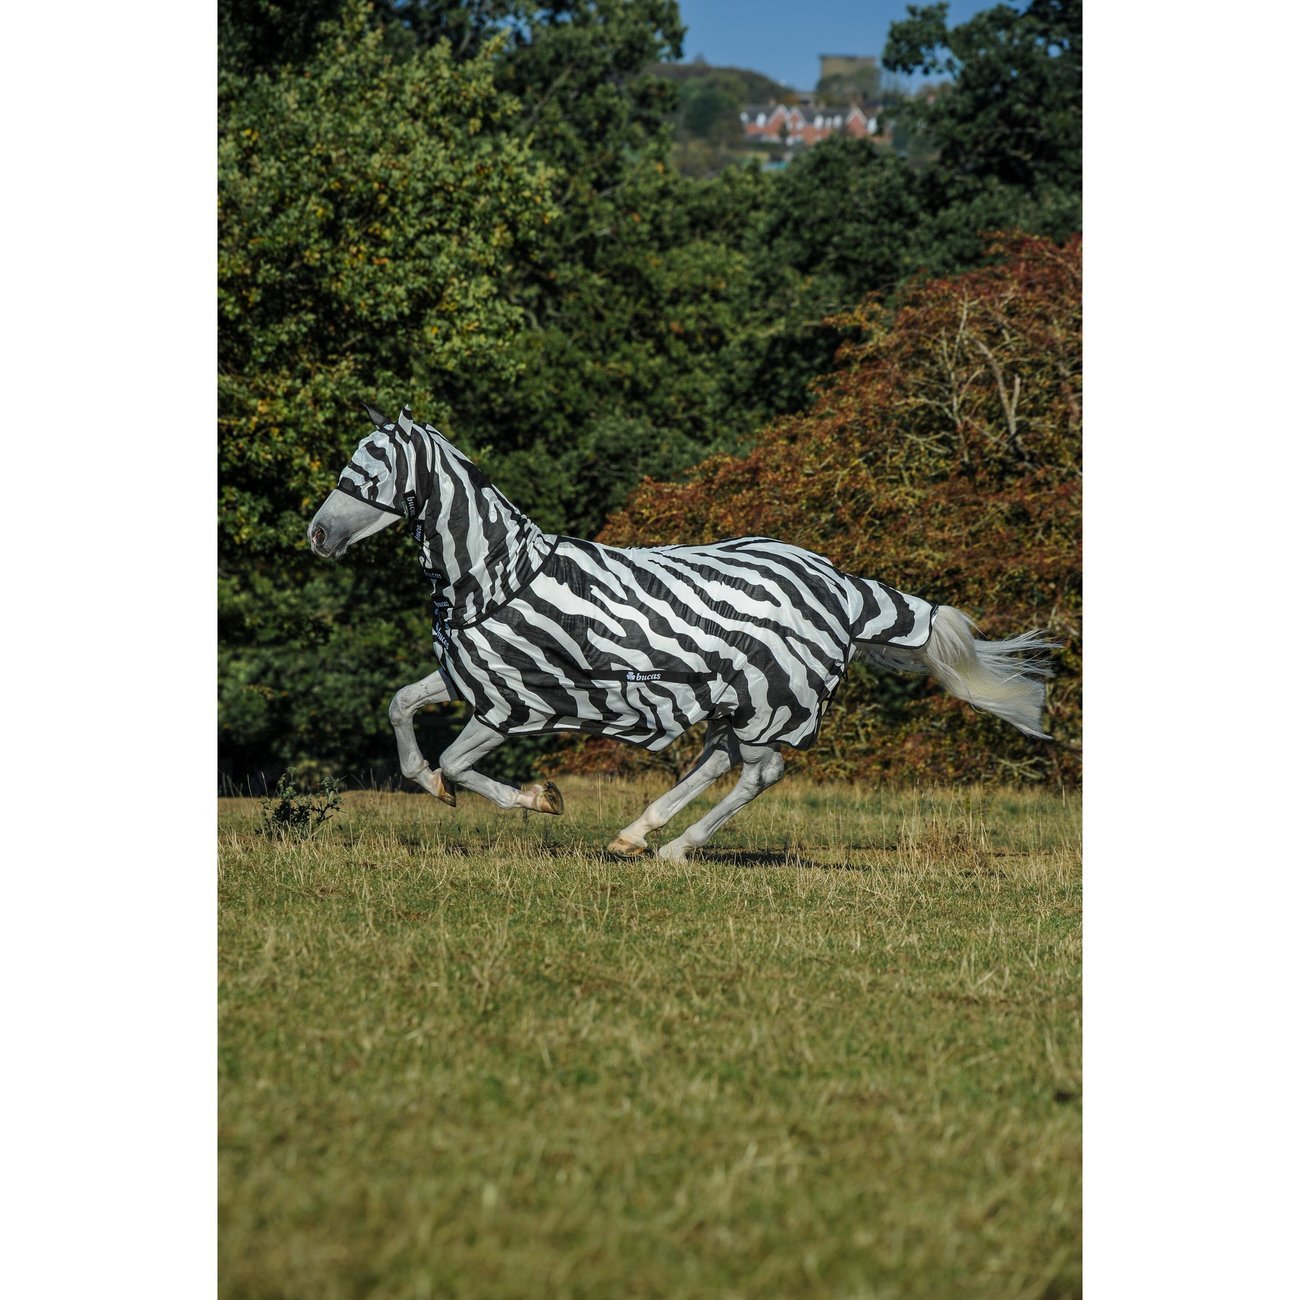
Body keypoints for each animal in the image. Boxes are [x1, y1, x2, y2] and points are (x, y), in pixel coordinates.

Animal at [308, 404, 1055, 861]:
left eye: (372, 465)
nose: (316, 534)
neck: (494, 576)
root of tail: (842, 585)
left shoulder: (515, 700)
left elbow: (461, 763)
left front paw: (539, 798)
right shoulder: (468, 674)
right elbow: (401, 710)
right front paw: (432, 786)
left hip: (770, 698)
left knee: (757, 771)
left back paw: (673, 848)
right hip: (736, 697)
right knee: (718, 760)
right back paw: (634, 836)